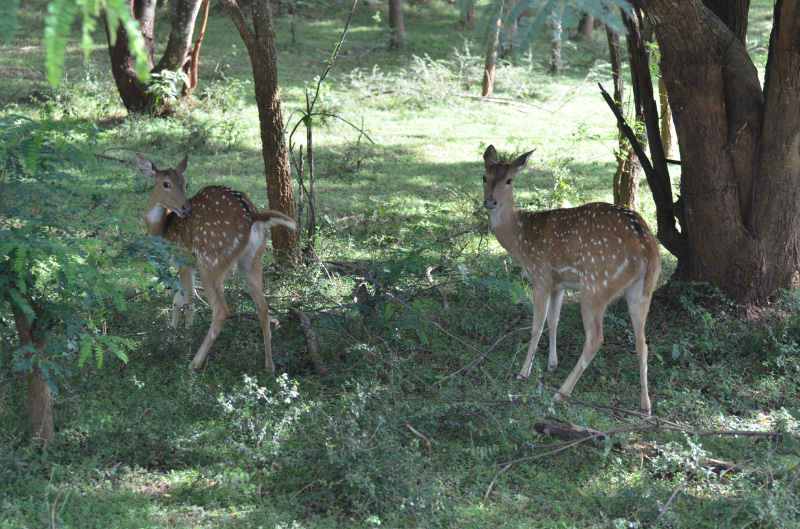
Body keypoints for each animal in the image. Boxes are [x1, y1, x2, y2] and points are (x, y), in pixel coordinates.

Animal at [136, 153, 297, 374]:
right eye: (166, 183)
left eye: (185, 184)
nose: (186, 208)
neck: (164, 230)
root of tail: (253, 217)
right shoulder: (185, 267)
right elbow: (176, 301)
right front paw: (170, 340)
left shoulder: (185, 260)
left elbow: (189, 304)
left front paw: (184, 347)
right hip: (252, 260)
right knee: (263, 308)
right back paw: (269, 366)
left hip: (211, 261)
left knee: (221, 310)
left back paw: (194, 364)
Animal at [481, 145, 660, 415]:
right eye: (484, 177)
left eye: (509, 180)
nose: (490, 202)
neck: (520, 239)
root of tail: (646, 245)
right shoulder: (559, 284)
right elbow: (554, 321)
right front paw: (552, 364)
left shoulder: (540, 275)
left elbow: (537, 325)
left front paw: (523, 373)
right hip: (641, 290)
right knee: (642, 342)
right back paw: (645, 406)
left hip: (596, 284)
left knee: (596, 338)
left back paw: (561, 393)